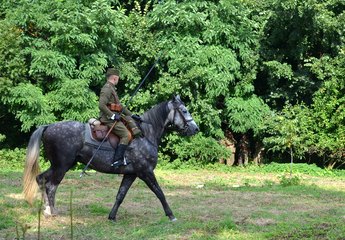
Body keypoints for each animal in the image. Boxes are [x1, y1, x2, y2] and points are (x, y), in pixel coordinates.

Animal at [22, 95, 198, 221]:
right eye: (184, 110)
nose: (195, 129)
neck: (145, 134)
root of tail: (48, 126)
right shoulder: (146, 172)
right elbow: (159, 192)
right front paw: (171, 215)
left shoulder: (131, 174)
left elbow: (120, 195)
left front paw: (112, 216)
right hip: (61, 166)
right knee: (51, 186)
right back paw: (51, 211)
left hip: (59, 165)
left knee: (41, 179)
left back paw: (46, 210)